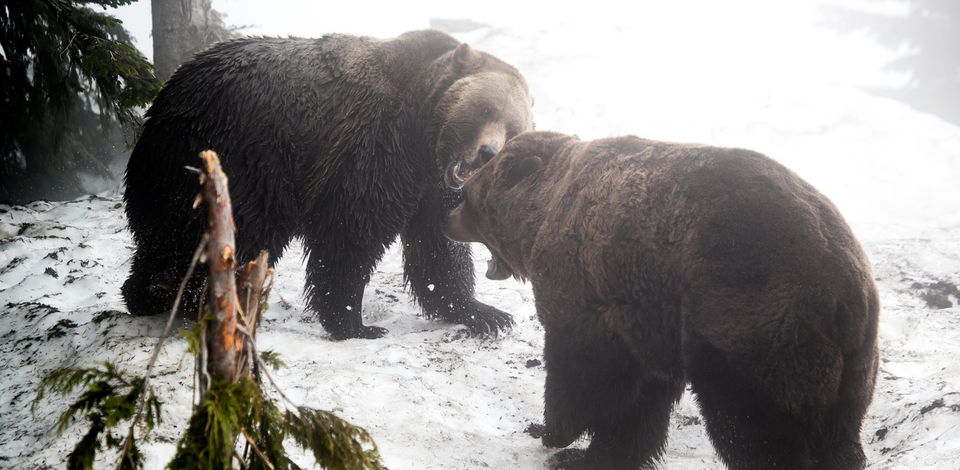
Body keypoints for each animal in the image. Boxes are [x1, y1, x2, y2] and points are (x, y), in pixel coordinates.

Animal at [121, 30, 536, 338]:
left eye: (514, 127)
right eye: (485, 108)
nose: (487, 154)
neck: (424, 136)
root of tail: (166, 98)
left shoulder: (431, 185)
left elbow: (439, 246)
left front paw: (485, 313)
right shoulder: (375, 142)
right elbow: (351, 229)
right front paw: (355, 322)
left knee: (162, 235)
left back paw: (146, 294)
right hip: (241, 152)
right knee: (234, 229)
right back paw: (202, 300)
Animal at [446, 131, 880, 470]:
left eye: (467, 197)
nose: (448, 219)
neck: (541, 213)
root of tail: (845, 293)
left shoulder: (587, 293)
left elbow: (580, 373)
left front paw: (552, 432)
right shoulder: (647, 319)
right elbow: (639, 408)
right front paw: (590, 454)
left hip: (752, 319)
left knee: (753, 427)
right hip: (852, 365)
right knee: (839, 437)